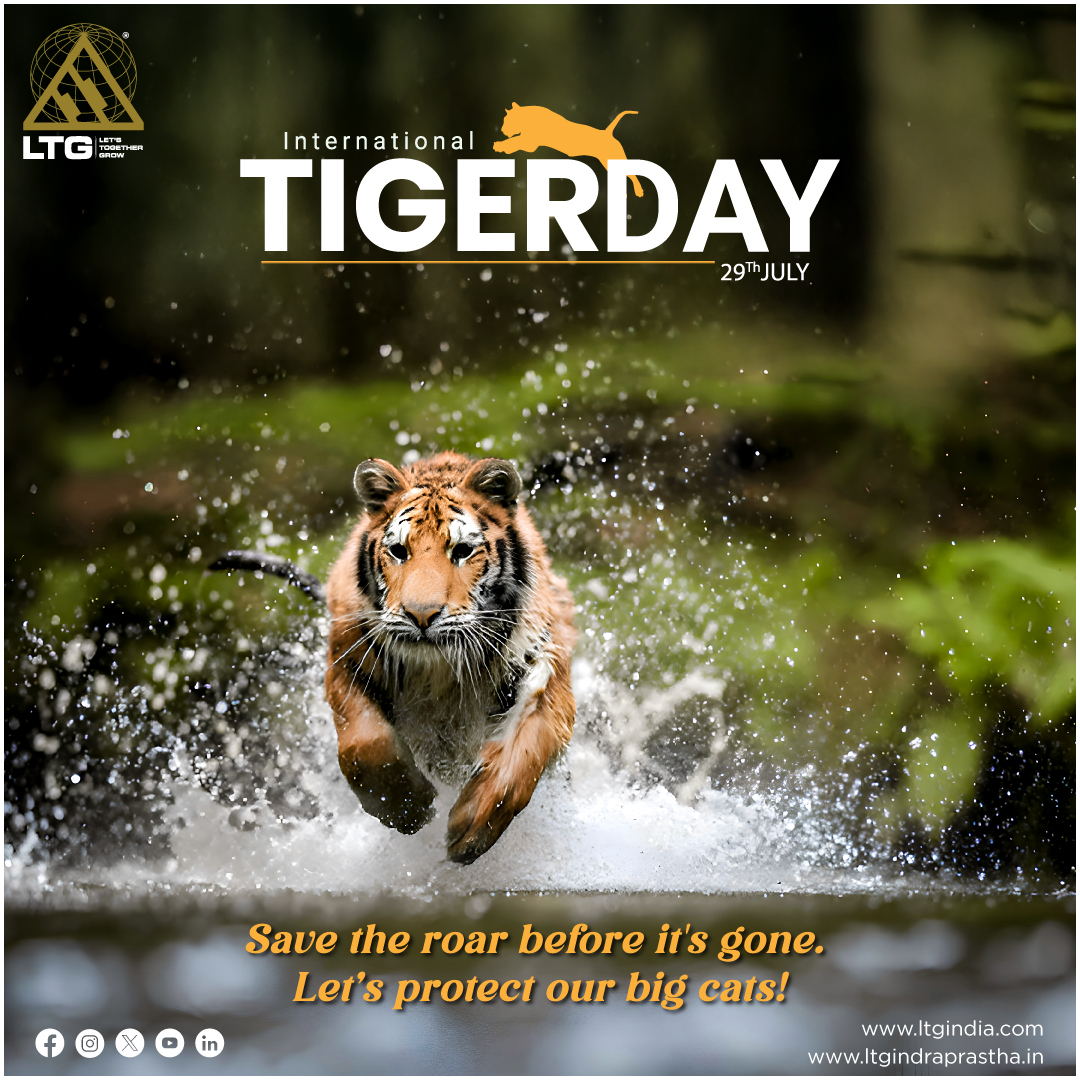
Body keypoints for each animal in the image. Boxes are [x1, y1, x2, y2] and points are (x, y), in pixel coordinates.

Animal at [212, 452, 577, 864]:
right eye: (399, 551)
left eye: (462, 551)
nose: (421, 615)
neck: (439, 672)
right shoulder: (346, 662)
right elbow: (363, 748)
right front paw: (409, 810)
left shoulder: (545, 670)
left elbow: (522, 753)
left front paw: (470, 830)